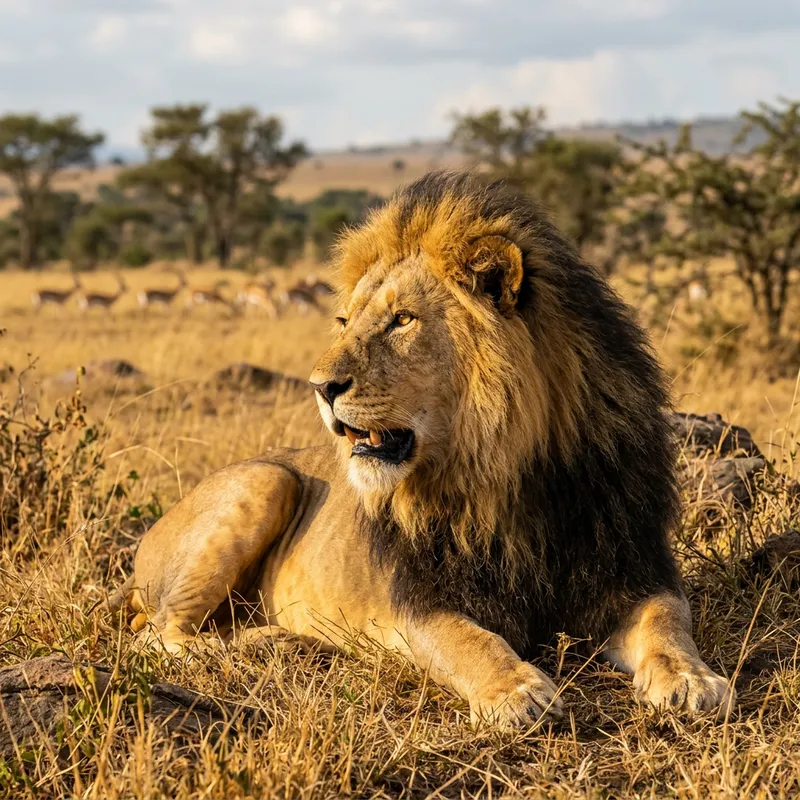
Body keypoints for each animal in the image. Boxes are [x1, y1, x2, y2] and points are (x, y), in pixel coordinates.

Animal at [115, 171, 735, 726]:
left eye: (402, 320)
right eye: (344, 320)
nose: (319, 386)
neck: (511, 477)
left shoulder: (634, 568)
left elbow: (668, 623)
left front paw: (692, 680)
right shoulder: (420, 602)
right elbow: (469, 641)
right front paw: (516, 692)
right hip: (266, 480)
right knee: (158, 637)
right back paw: (273, 642)